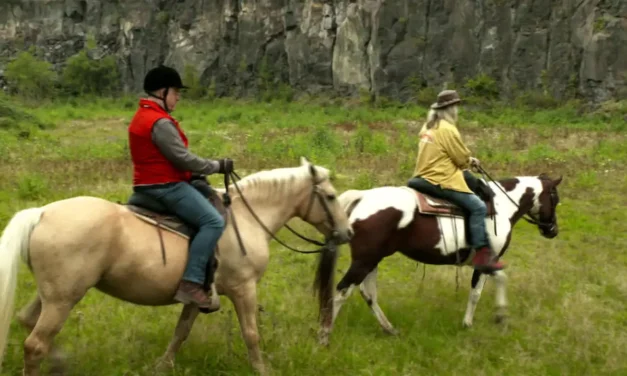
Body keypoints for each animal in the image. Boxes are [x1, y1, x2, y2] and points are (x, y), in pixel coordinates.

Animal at [0, 157, 354, 374]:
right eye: (330, 196)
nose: (347, 233)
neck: (246, 217)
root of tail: (42, 213)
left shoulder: (198, 296)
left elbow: (180, 332)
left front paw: (162, 366)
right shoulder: (244, 289)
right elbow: (251, 333)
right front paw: (262, 369)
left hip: (55, 295)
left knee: (27, 322)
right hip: (63, 299)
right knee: (34, 344)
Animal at [318, 171, 564, 344]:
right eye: (555, 197)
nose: (552, 230)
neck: (499, 207)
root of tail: (362, 197)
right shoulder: (488, 261)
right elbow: (483, 289)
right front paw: (491, 318)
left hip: (372, 259)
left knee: (367, 292)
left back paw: (389, 329)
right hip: (365, 260)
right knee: (342, 290)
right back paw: (324, 336)